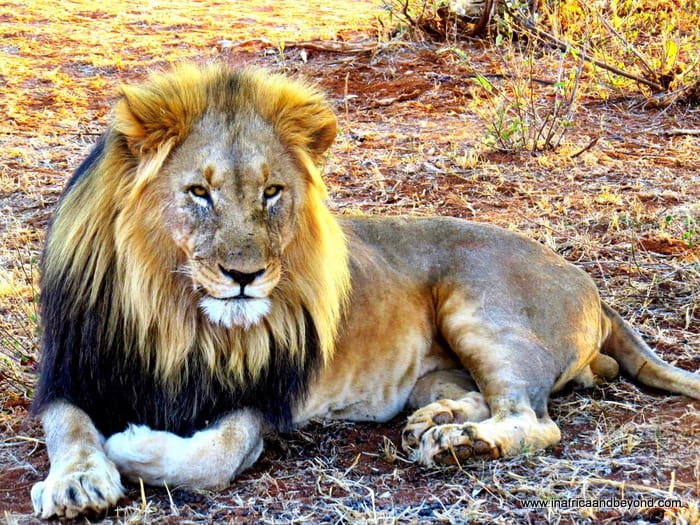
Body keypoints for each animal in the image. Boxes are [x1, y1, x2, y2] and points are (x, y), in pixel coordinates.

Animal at [31, 64, 700, 518]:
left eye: (272, 192)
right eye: (199, 192)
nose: (246, 277)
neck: (174, 313)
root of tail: (586, 279)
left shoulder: (261, 400)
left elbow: (212, 455)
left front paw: (127, 446)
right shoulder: (69, 372)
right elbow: (69, 427)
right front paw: (77, 480)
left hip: (482, 308)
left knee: (533, 419)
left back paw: (461, 444)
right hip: (443, 366)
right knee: (494, 400)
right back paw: (437, 422)